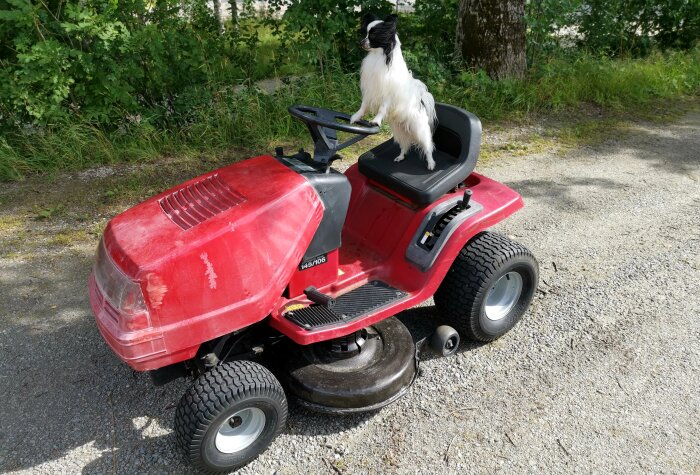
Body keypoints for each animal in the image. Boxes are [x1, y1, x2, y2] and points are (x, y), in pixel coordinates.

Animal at [350, 13, 438, 171]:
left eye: (373, 35)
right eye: (365, 33)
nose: (361, 42)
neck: (378, 57)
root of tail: (421, 100)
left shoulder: (388, 95)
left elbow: (382, 109)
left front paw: (375, 121)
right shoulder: (369, 91)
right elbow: (363, 106)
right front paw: (356, 116)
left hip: (420, 129)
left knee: (428, 147)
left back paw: (431, 163)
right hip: (399, 131)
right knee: (405, 145)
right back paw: (400, 157)